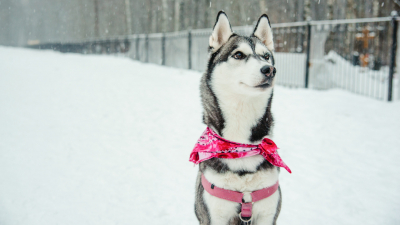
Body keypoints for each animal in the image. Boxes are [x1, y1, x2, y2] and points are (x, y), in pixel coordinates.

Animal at [195, 12, 282, 225]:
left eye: (266, 56)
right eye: (239, 55)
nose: (269, 69)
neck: (241, 146)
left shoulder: (268, 213)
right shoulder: (214, 214)